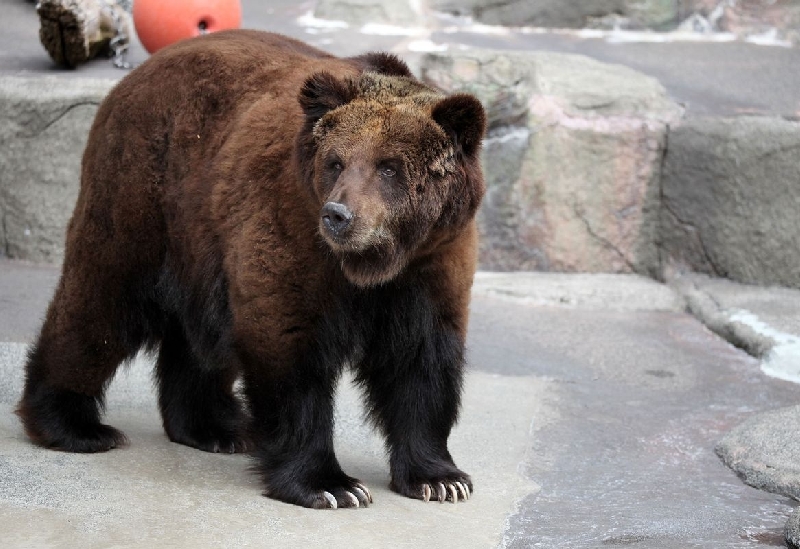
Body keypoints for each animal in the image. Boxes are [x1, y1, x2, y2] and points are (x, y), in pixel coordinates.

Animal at [15, 30, 484, 510]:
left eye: (389, 166)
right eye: (336, 161)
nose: (338, 215)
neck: (370, 265)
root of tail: (134, 76)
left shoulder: (430, 265)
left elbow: (421, 362)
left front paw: (440, 479)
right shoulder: (292, 234)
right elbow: (288, 344)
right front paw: (331, 485)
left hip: (203, 237)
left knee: (196, 337)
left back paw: (215, 428)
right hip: (145, 192)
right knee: (103, 296)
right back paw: (73, 425)